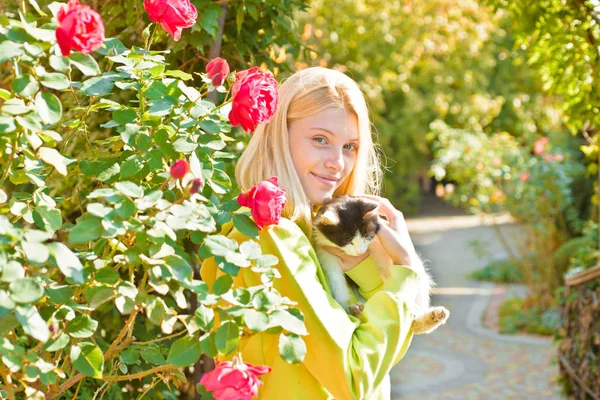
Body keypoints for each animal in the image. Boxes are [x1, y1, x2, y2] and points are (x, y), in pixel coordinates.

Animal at [312, 195, 448, 334]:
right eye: (348, 240)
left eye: (367, 236)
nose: (360, 251)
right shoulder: (326, 253)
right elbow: (337, 283)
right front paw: (344, 307)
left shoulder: (381, 247)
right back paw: (357, 311)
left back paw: (428, 318)